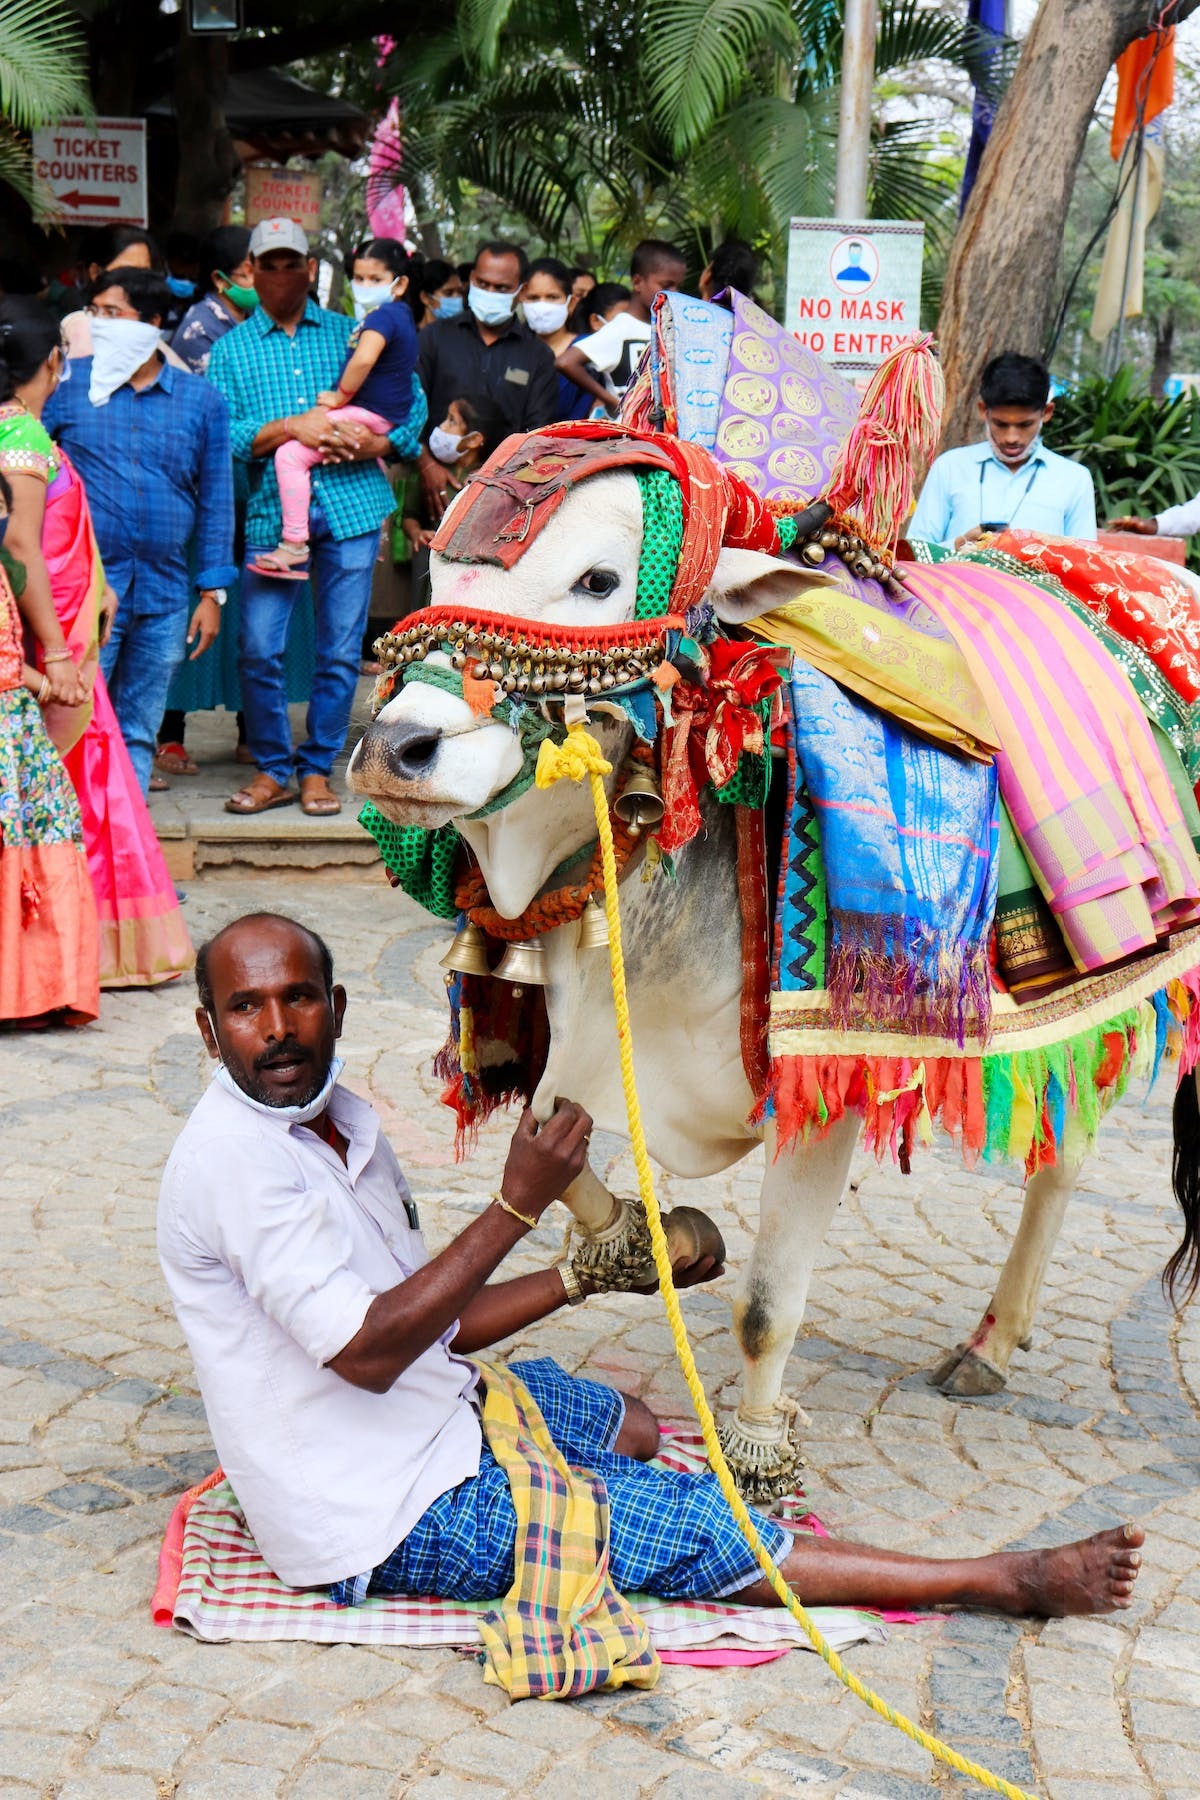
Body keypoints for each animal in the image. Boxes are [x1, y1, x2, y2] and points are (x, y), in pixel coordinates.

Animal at [345, 327, 1200, 1504]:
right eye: (436, 569)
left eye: (600, 579)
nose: (398, 750)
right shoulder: (584, 1047)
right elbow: (558, 1157)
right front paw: (654, 1240)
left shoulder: (822, 1081)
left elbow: (762, 1310)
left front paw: (754, 1457)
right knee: (1063, 1150)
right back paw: (992, 1341)